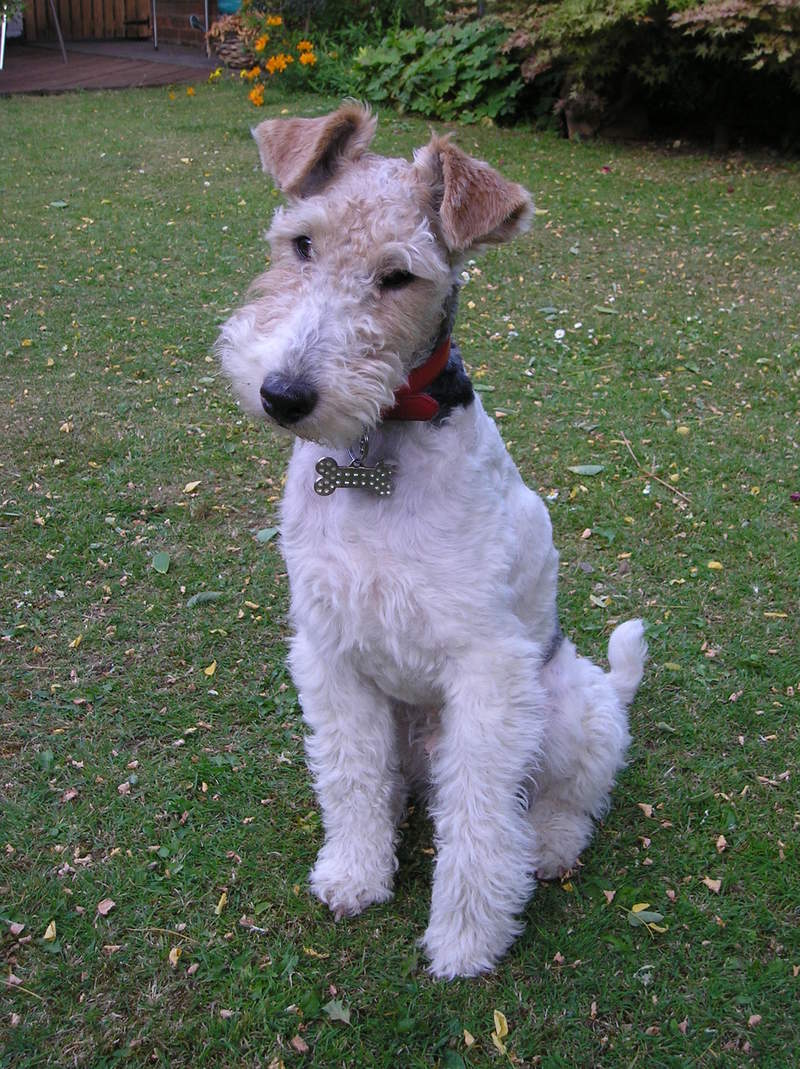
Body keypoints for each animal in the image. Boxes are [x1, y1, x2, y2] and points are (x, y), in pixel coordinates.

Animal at [217, 104, 641, 979]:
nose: (285, 395)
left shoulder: (486, 667)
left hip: (567, 705)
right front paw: (354, 874)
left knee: (565, 797)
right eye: (301, 242)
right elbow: (349, 776)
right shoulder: (331, 648)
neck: (373, 456)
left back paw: (549, 847)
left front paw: (466, 940)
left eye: (399, 277)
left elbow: (480, 817)